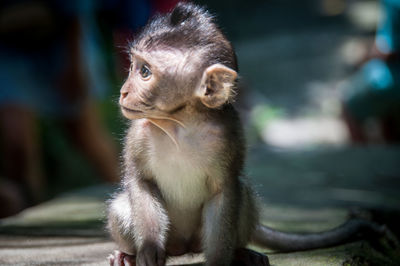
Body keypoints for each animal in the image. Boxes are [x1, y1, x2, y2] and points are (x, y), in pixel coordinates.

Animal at [107, 2, 388, 266]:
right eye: (132, 67)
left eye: (144, 71)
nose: (123, 91)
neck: (181, 123)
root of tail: (184, 248)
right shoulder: (138, 135)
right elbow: (141, 181)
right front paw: (149, 250)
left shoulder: (228, 136)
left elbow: (225, 189)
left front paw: (220, 261)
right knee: (121, 207)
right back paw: (128, 256)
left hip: (204, 235)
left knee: (241, 192)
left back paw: (241, 253)